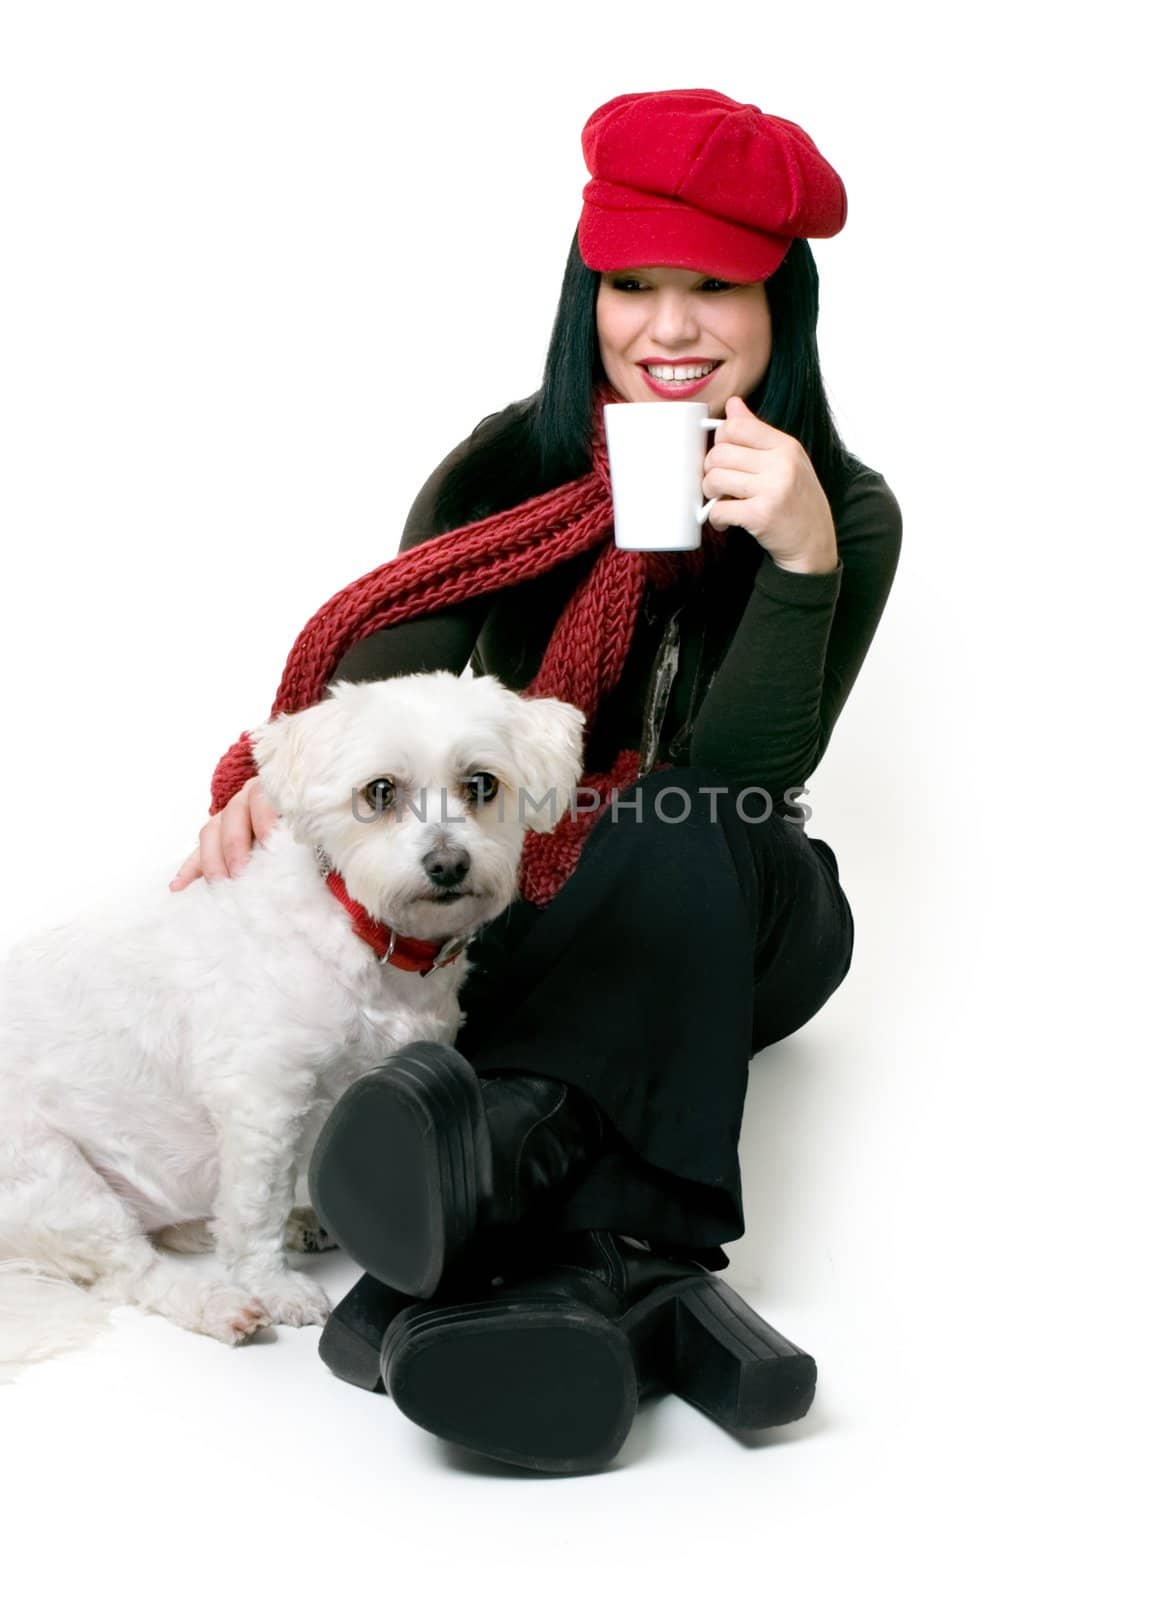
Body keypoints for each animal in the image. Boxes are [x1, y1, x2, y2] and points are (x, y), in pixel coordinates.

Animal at [0, 672, 579, 1376]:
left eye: (482, 785)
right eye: (379, 792)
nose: (447, 864)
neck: (370, 937)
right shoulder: (262, 1102)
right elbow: (255, 1208)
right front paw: (271, 1286)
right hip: (53, 1177)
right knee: (132, 1269)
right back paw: (217, 1301)